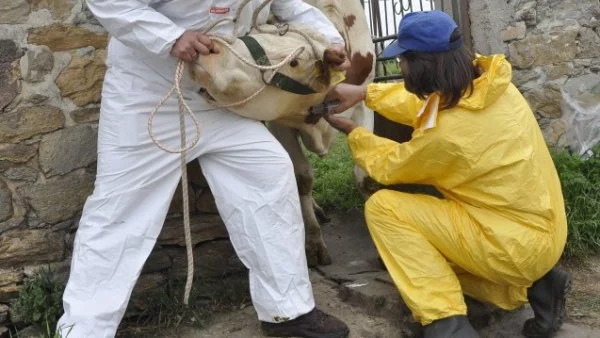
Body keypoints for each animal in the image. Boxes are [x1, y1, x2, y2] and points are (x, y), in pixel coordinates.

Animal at [190, 0, 376, 266]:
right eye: (248, 34)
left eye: (293, 62)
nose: (212, 48)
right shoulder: (281, 123)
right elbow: (302, 178)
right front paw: (313, 242)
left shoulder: (362, 103)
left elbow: (364, 178)